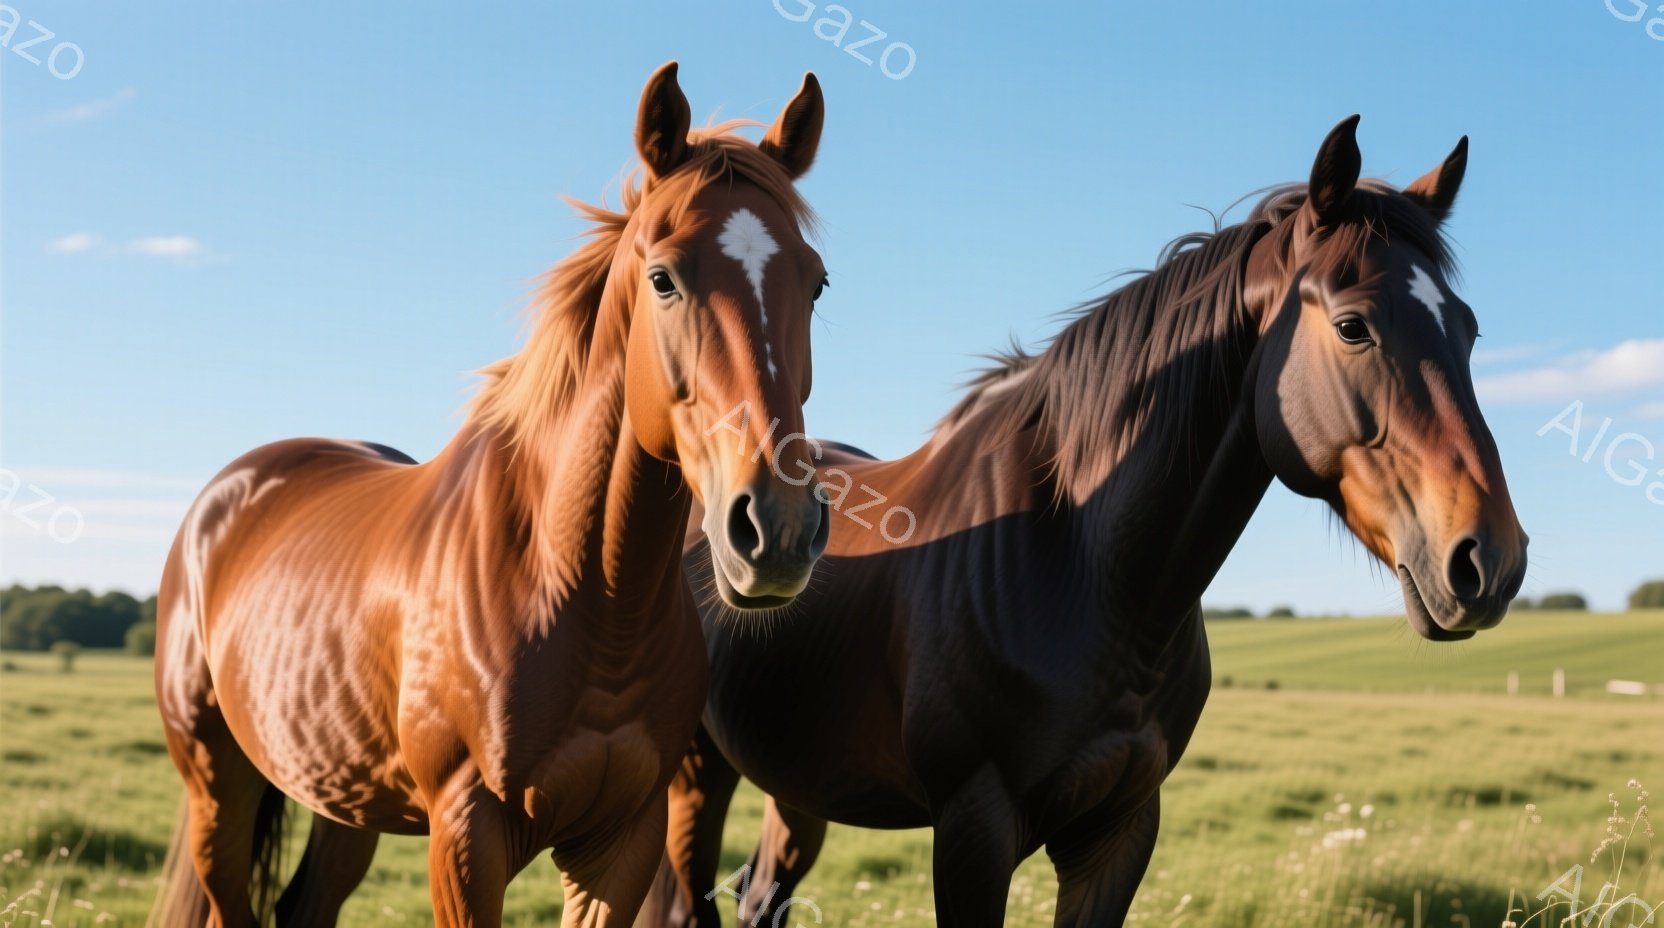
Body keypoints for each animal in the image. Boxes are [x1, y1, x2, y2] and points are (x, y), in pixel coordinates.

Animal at [149, 62, 834, 928]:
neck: (581, 593)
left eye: (816, 283)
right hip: (219, 785)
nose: (777, 527)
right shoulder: (466, 836)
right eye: (663, 278)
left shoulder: (622, 843)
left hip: (346, 799)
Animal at [645, 117, 1529, 927]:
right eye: (1353, 326)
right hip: (694, 772)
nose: (1490, 561)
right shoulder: (973, 829)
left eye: (1469, 329)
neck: (1084, 566)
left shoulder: (1121, 830)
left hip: (797, 780)